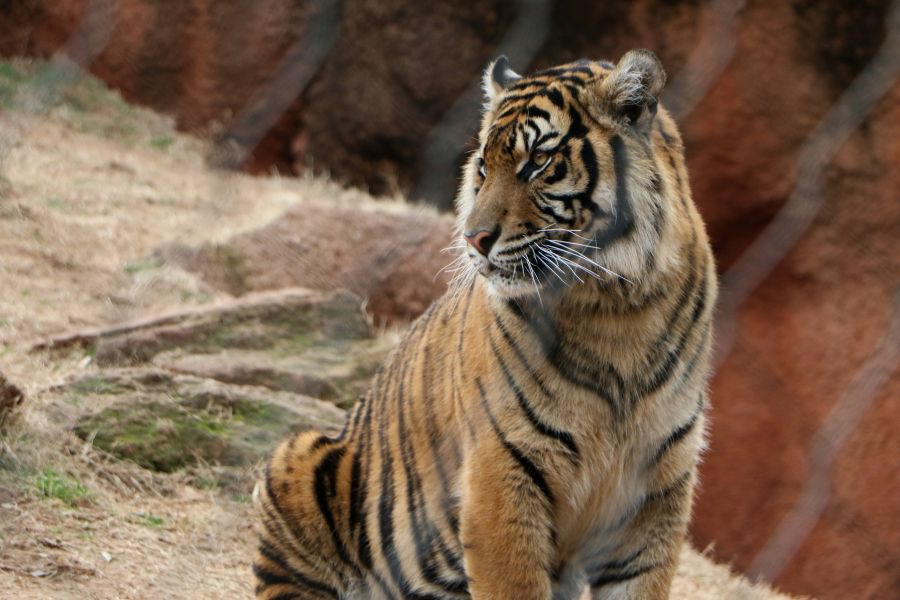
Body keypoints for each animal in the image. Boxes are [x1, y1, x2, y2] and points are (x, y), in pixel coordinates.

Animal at [253, 49, 717, 600]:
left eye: (537, 162)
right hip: (296, 457)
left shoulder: (656, 491)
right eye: (481, 167)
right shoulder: (503, 469)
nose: (474, 238)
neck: (616, 307)